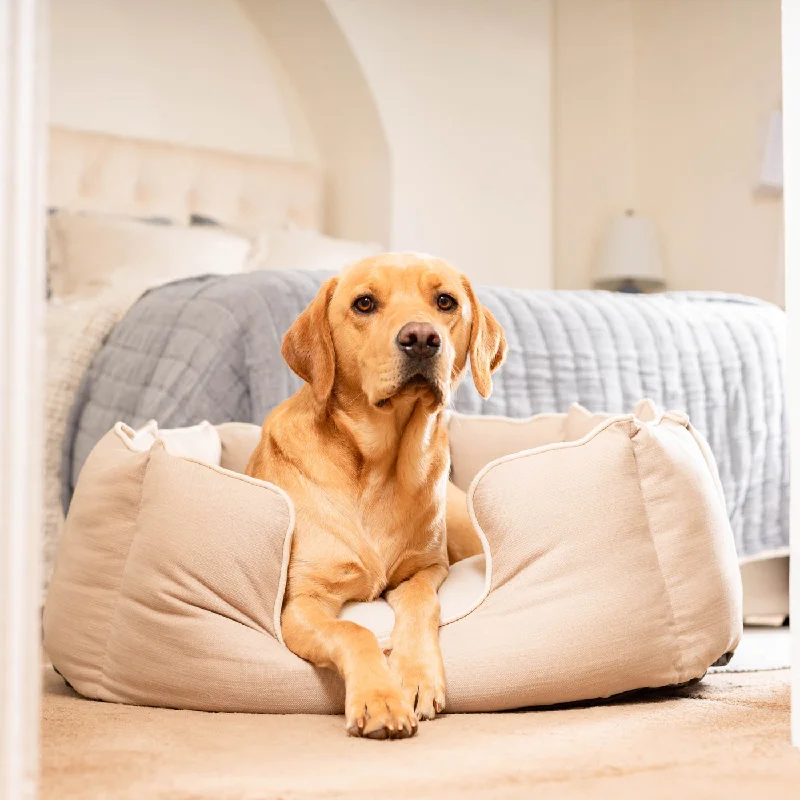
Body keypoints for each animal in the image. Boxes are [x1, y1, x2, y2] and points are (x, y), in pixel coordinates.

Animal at [247, 253, 506, 740]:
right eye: (364, 303)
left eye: (446, 301)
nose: (421, 338)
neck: (380, 466)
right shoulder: (302, 603)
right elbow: (354, 632)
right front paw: (380, 698)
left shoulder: (427, 570)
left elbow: (423, 604)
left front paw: (416, 677)